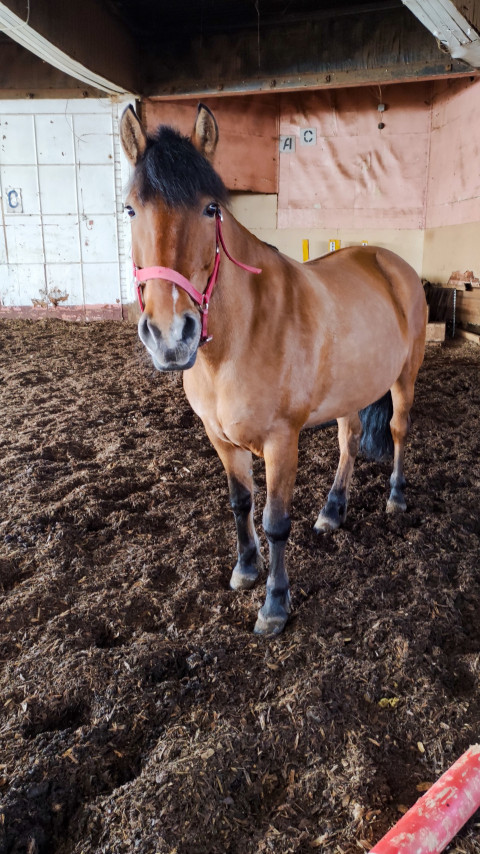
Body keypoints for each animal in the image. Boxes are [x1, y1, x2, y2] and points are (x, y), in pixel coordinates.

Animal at [120, 103, 427, 636]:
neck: (236, 343)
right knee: (349, 440)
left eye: (211, 209)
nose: (170, 335)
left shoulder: (282, 442)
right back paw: (332, 512)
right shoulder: (220, 437)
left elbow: (275, 522)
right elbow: (240, 503)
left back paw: (395, 498)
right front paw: (246, 569)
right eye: (131, 209)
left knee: (397, 430)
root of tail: (390, 261)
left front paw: (275, 605)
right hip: (350, 391)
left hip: (403, 379)